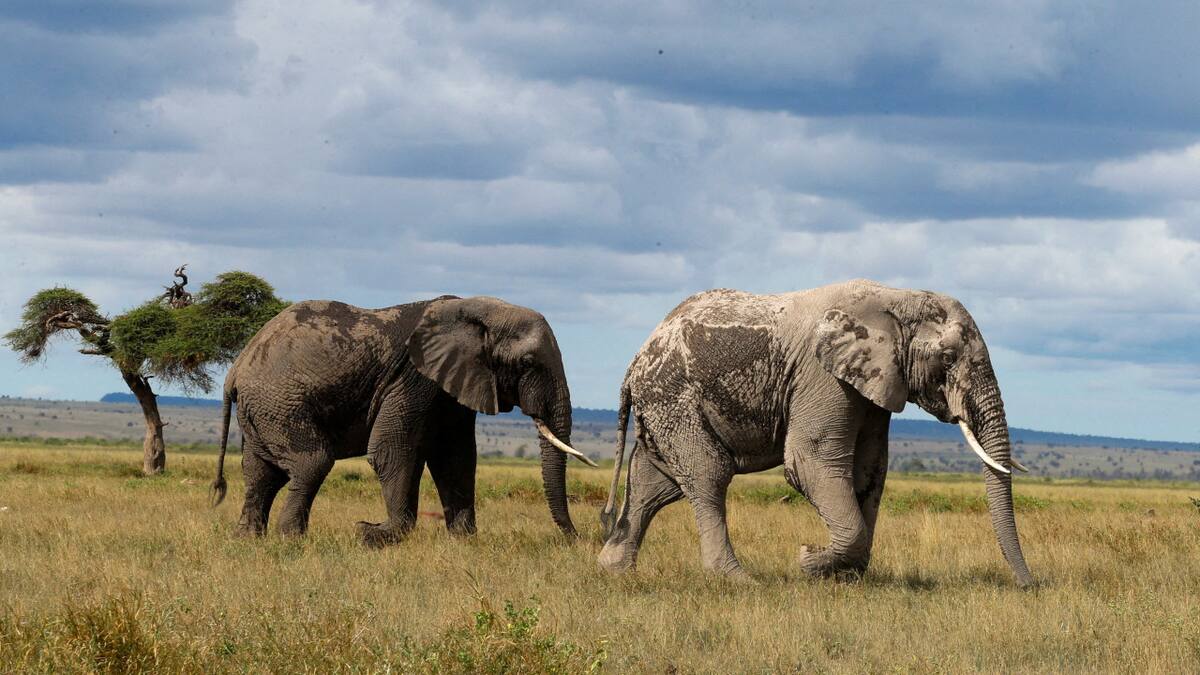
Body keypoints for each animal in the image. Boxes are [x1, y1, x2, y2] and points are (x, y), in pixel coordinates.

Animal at [209, 295, 595, 546]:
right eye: (527, 363)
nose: (576, 539)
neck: (473, 309)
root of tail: (236, 369)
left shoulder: (452, 386)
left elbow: (456, 458)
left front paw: (463, 541)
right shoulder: (413, 378)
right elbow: (392, 451)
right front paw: (372, 533)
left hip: (263, 411)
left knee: (260, 473)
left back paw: (248, 540)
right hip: (280, 404)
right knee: (311, 463)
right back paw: (291, 540)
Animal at [597, 279, 1034, 587]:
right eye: (947, 358)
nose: (1029, 585)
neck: (897, 298)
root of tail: (636, 359)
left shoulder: (874, 382)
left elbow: (870, 470)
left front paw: (845, 578)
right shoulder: (821, 375)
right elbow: (810, 460)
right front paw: (809, 560)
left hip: (664, 405)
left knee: (653, 483)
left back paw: (613, 570)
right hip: (674, 396)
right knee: (708, 474)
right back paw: (738, 580)